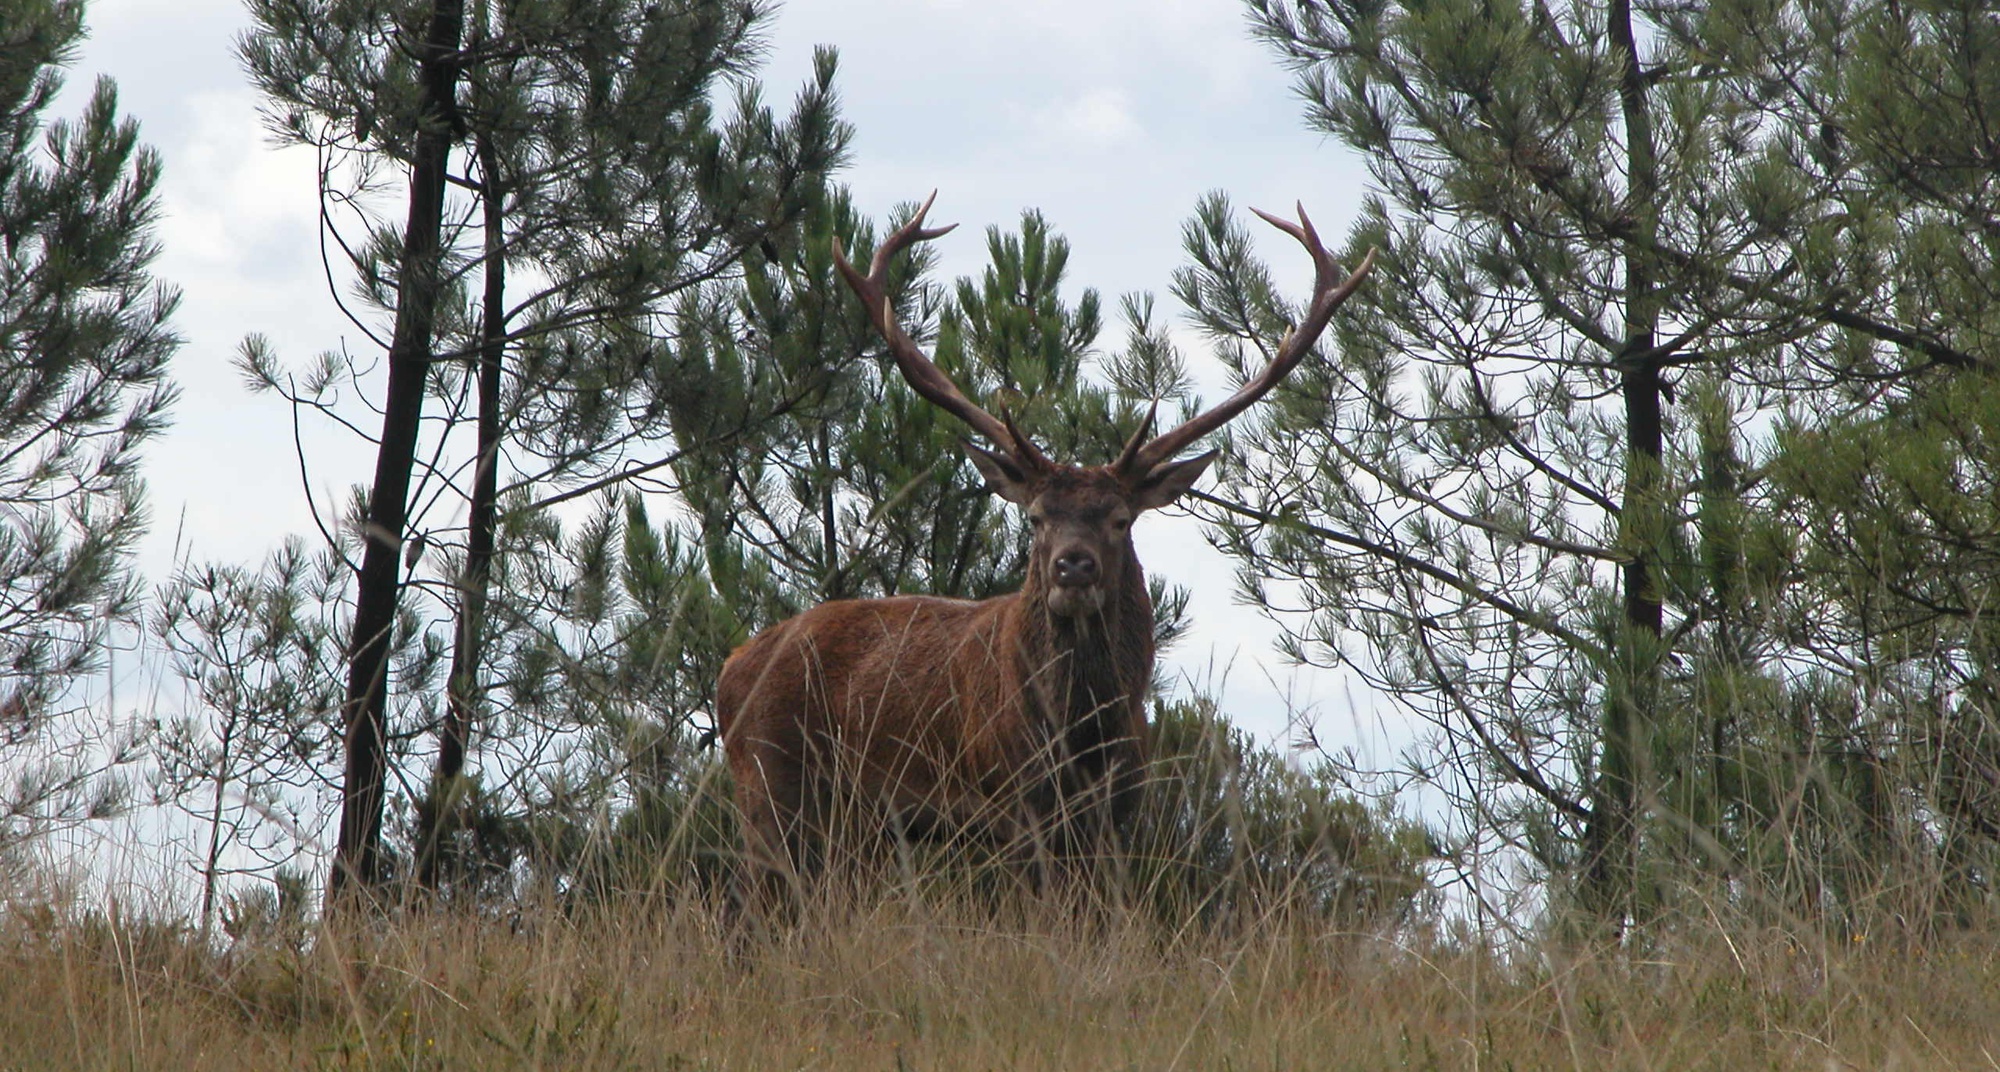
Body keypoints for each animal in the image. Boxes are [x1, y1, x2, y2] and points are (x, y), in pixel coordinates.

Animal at [714, 194, 1374, 906]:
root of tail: (730, 667)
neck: (1082, 737)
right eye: (1034, 517)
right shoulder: (1010, 804)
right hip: (770, 788)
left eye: (1120, 519)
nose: (1072, 566)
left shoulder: (1119, 809)